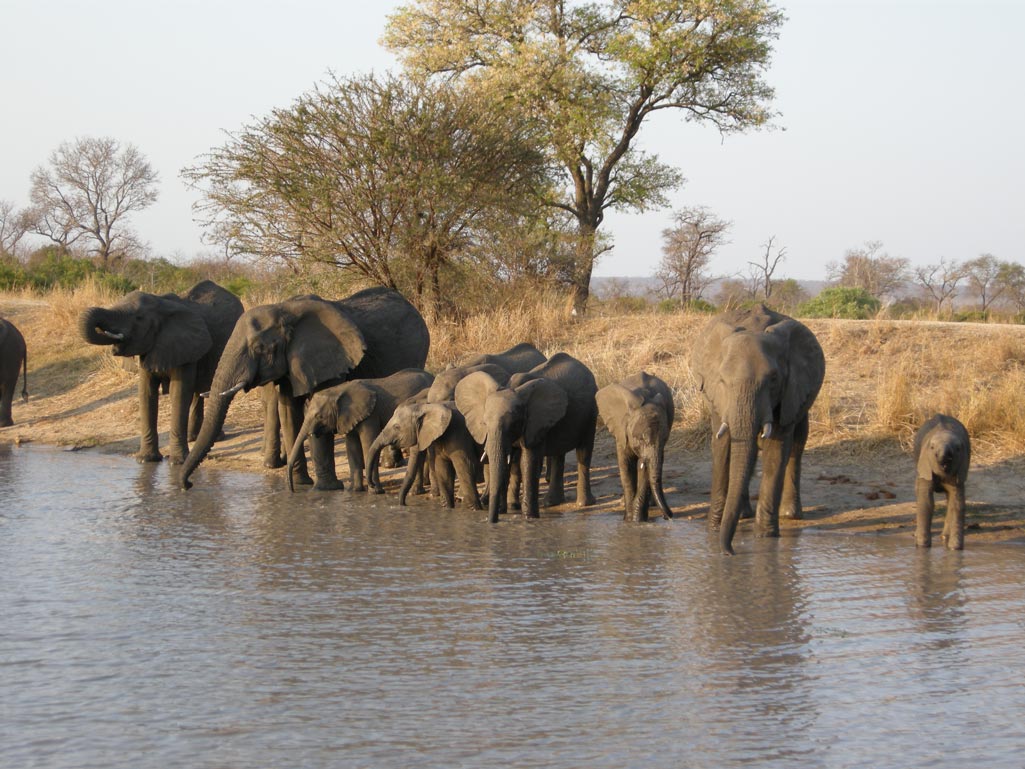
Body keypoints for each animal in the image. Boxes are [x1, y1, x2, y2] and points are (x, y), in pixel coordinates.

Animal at [77, 282, 241, 463]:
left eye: (138, 318)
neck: (161, 304)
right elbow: (146, 393)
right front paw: (145, 460)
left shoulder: (184, 346)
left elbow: (179, 393)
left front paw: (177, 461)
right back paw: (193, 438)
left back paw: (216, 438)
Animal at [180, 287, 428, 490]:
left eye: (259, 348)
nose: (187, 485)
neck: (284, 310)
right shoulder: (292, 364)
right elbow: (289, 413)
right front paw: (300, 484)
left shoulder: (328, 361)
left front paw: (326, 488)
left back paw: (390, 464)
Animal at [455, 354, 598, 524]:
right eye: (484, 423)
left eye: (514, 424)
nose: (491, 521)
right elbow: (507, 461)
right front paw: (502, 512)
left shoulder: (535, 422)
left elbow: (528, 460)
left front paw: (529, 518)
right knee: (558, 454)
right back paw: (551, 502)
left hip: (591, 412)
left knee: (584, 452)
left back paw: (584, 503)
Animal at [688, 303, 824, 557]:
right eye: (722, 380)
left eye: (773, 379)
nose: (730, 552)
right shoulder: (718, 399)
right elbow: (723, 447)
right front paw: (713, 529)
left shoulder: (788, 391)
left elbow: (776, 451)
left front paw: (766, 538)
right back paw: (743, 515)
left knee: (798, 443)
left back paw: (790, 515)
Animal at [914, 412, 967, 549]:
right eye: (932, 448)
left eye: (957, 449)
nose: (944, 463)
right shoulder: (925, 465)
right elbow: (926, 502)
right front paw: (922, 548)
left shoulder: (960, 468)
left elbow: (957, 503)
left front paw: (955, 549)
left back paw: (945, 537)